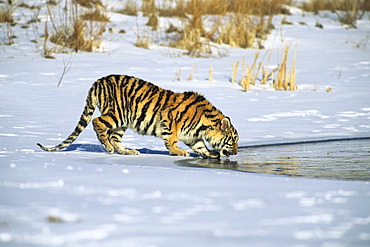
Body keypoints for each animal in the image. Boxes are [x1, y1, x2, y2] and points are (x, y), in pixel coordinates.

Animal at [37, 74, 238, 158]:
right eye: (234, 140)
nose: (236, 152)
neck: (205, 126)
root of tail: (97, 81)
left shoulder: (193, 136)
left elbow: (201, 147)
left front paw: (212, 154)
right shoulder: (170, 121)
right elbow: (172, 140)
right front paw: (177, 152)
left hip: (122, 123)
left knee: (114, 137)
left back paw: (127, 151)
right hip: (116, 114)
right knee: (97, 122)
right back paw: (108, 147)